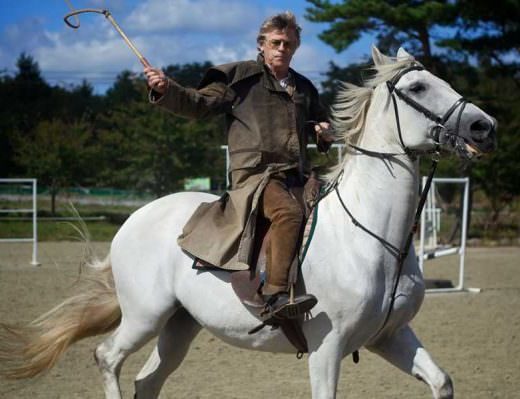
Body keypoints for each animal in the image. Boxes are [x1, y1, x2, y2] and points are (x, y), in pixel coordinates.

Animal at [0, 46, 496, 396]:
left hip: (178, 326)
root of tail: (136, 219)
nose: (484, 127)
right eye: (418, 88)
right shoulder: (327, 349)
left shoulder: (390, 336)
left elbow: (442, 382)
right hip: (145, 316)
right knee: (107, 358)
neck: (371, 241)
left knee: (147, 382)